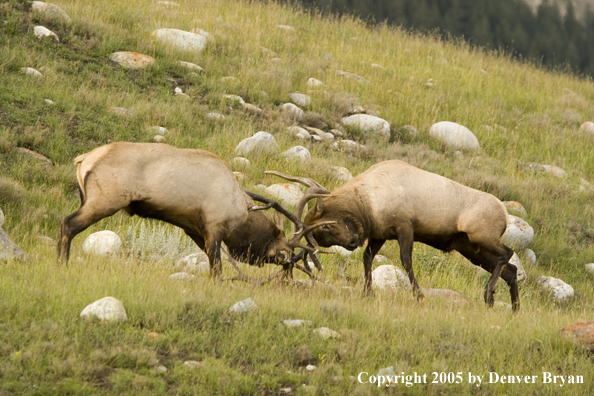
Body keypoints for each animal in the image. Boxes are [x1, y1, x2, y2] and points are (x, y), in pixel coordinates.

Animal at [57, 142, 328, 282]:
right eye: (288, 252)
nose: (288, 276)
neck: (241, 219)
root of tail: (83, 159)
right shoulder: (215, 226)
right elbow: (217, 269)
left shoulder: (194, 229)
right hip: (104, 200)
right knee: (68, 223)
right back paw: (63, 264)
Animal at [268, 159, 520, 310]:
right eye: (322, 235)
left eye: (324, 227)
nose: (352, 242)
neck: (367, 205)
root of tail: (505, 214)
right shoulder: (380, 234)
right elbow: (367, 258)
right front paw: (367, 293)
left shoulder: (405, 225)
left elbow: (406, 261)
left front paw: (419, 295)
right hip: (469, 247)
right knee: (511, 269)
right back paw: (513, 307)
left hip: (481, 236)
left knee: (508, 253)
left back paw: (489, 295)